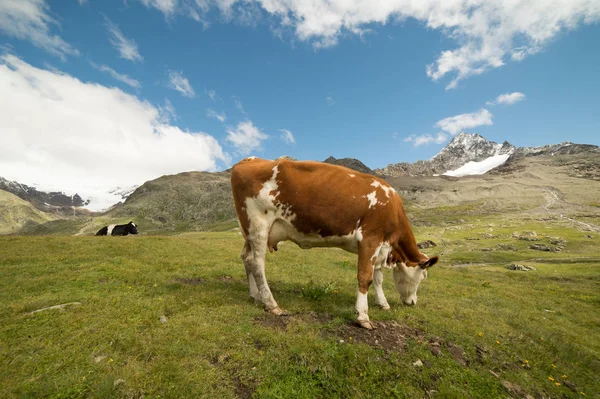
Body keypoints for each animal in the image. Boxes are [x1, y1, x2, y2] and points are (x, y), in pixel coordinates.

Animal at [232, 158, 438, 330]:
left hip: (248, 232)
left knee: (246, 258)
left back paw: (255, 296)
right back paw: (271, 303)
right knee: (257, 262)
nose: (413, 302)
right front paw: (363, 316)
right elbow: (366, 277)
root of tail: (249, 160)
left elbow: (378, 277)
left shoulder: (381, 247)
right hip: (258, 224)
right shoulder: (370, 238)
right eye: (423, 276)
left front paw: (383, 303)